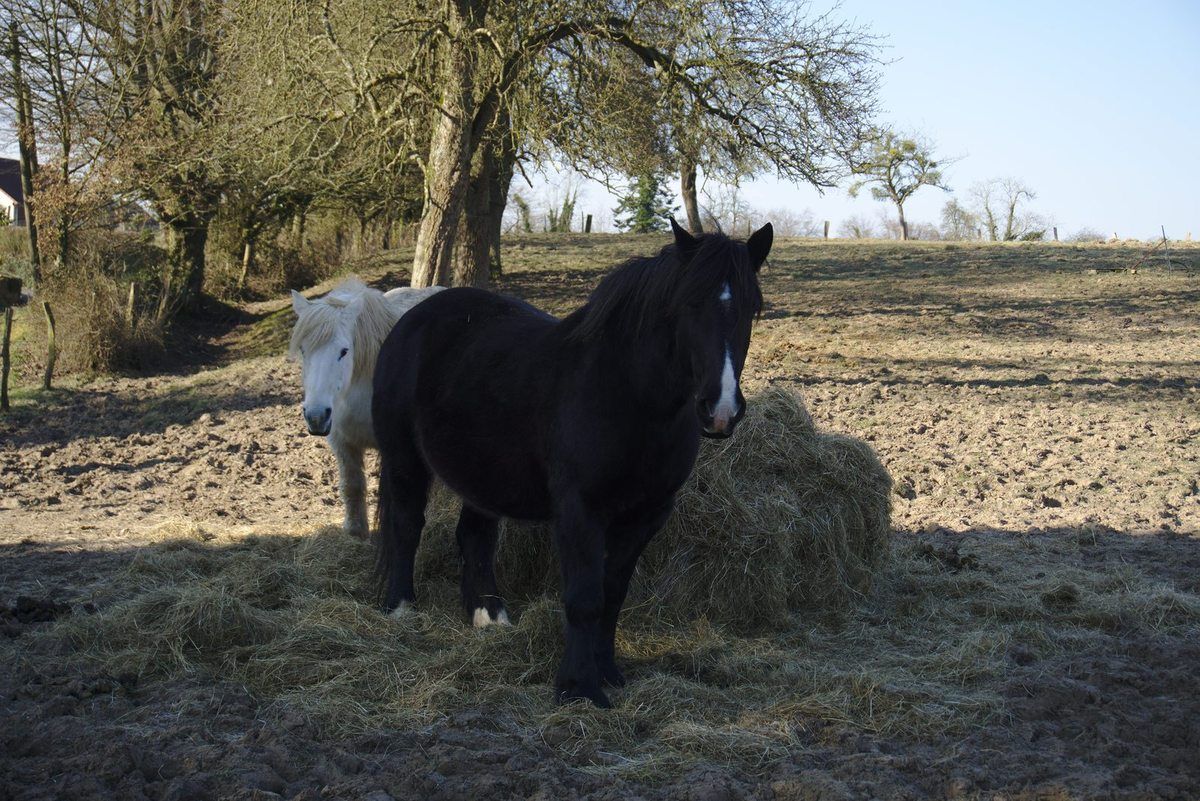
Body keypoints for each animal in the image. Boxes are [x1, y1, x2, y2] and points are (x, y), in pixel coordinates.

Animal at [288, 276, 444, 537]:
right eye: (303, 349)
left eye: (344, 351)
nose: (316, 416)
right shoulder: (341, 441)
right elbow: (353, 486)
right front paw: (356, 531)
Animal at [369, 219, 772, 705]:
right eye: (689, 303)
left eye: (752, 308)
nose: (721, 410)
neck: (626, 393)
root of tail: (411, 319)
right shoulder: (580, 511)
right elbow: (584, 597)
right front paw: (578, 688)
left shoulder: (647, 515)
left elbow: (612, 595)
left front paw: (608, 672)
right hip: (403, 459)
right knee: (406, 524)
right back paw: (401, 608)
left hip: (482, 474)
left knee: (474, 537)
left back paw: (489, 616)